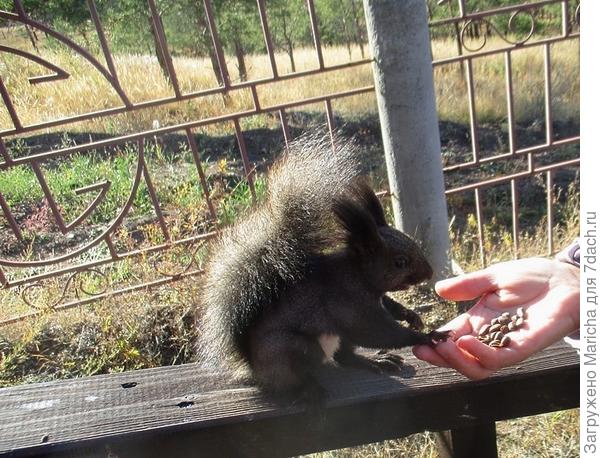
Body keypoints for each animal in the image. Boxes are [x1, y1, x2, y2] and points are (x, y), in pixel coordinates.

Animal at [197, 133, 450, 398]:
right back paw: (308, 390)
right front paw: (428, 336)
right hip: (293, 350)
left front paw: (412, 316)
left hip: (336, 341)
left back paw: (374, 361)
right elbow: (378, 333)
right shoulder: (351, 306)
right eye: (400, 262)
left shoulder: (377, 299)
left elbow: (391, 307)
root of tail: (255, 370)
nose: (430, 272)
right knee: (296, 378)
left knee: (344, 356)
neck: (359, 276)